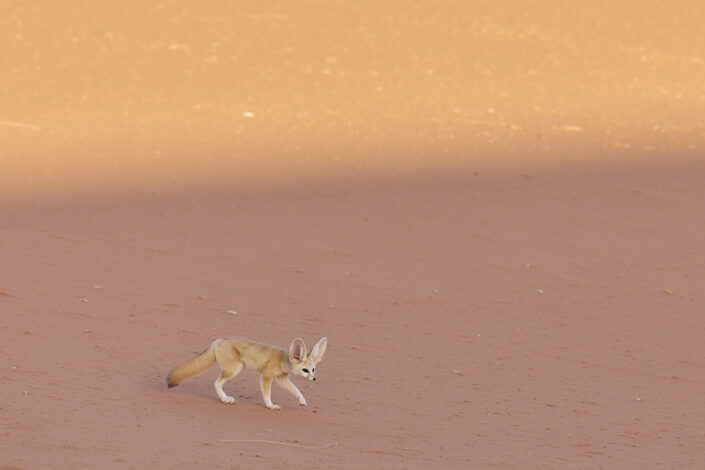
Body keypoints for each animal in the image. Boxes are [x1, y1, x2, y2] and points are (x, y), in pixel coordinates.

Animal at [166, 336, 327, 410]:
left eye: (313, 370)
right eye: (305, 370)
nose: (314, 379)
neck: (284, 359)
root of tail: (216, 341)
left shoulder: (281, 378)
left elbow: (295, 390)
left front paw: (302, 401)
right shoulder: (267, 376)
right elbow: (267, 394)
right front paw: (270, 405)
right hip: (235, 369)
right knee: (217, 383)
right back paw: (225, 399)